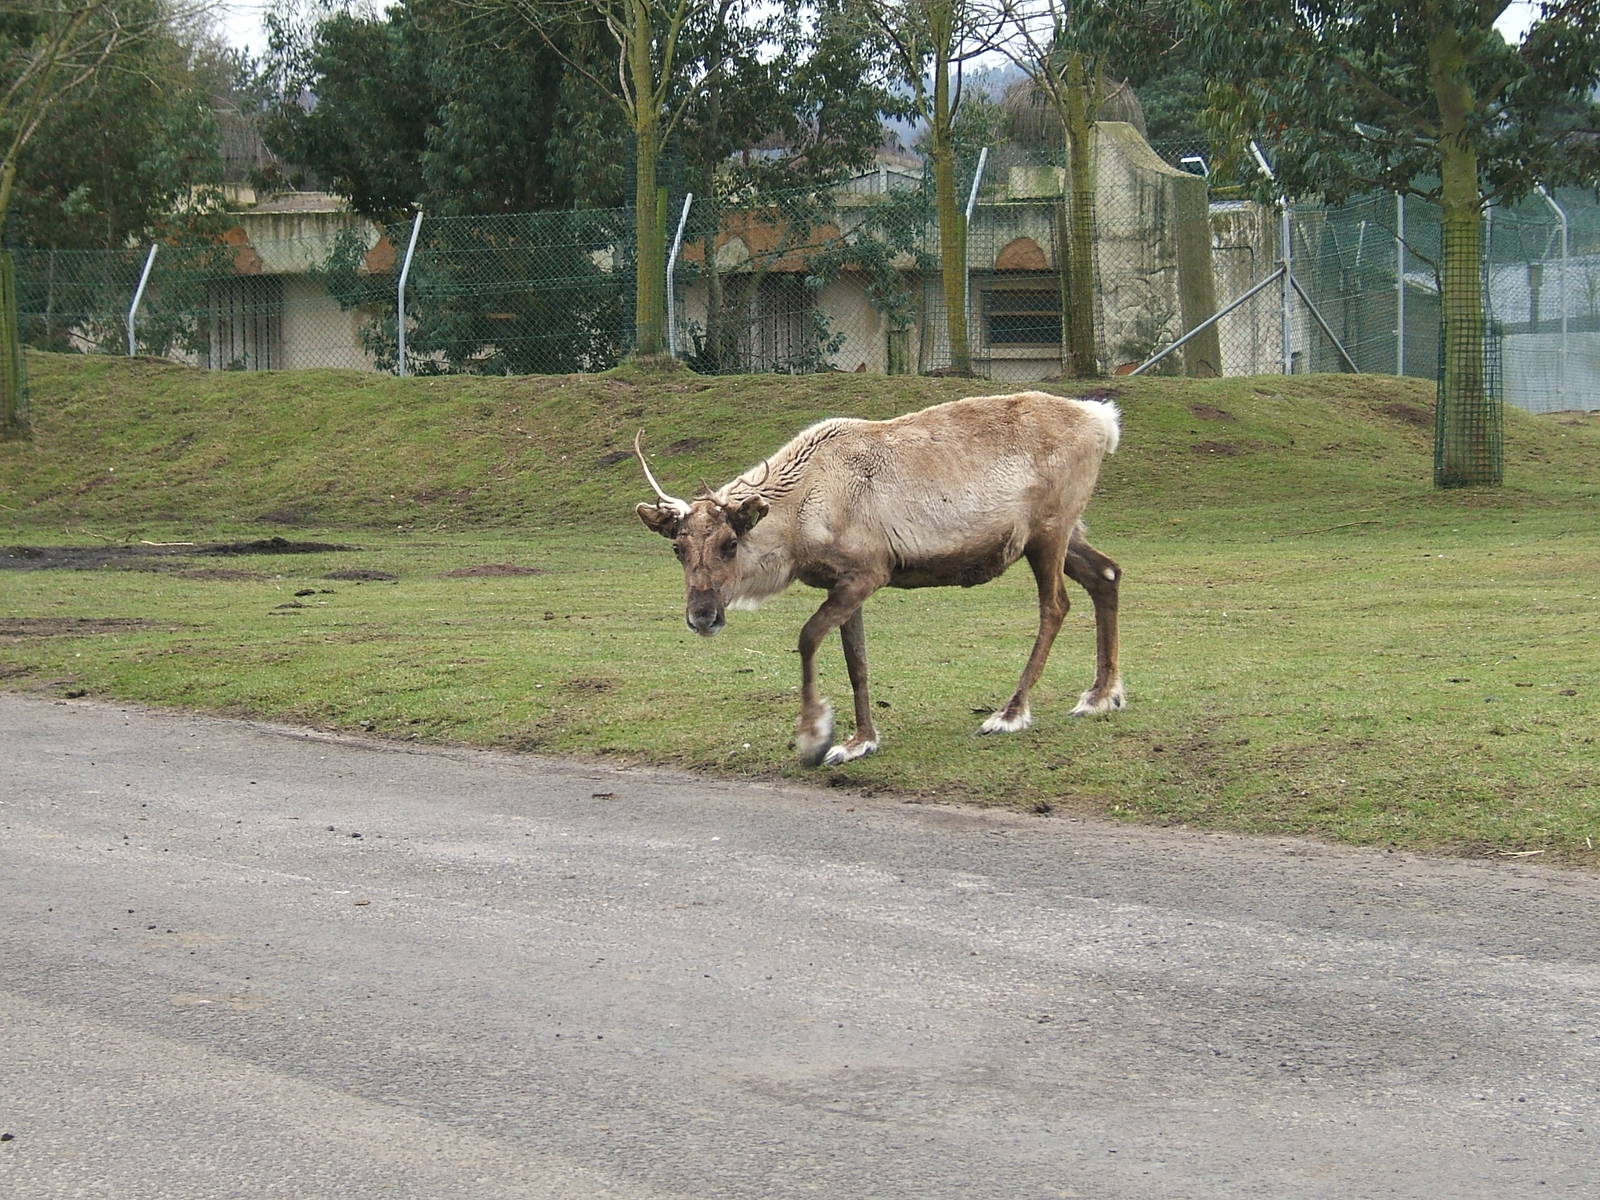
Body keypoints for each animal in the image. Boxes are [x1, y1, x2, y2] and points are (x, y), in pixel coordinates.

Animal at [633, 390, 1124, 767]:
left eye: (730, 543)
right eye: (677, 549)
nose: (702, 615)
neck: (800, 516)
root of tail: (1104, 422)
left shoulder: (869, 571)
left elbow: (808, 638)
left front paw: (814, 734)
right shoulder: (843, 583)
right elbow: (857, 662)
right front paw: (860, 741)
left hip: (1048, 530)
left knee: (1056, 605)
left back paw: (1010, 712)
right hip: (1063, 533)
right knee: (1107, 574)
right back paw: (1101, 695)